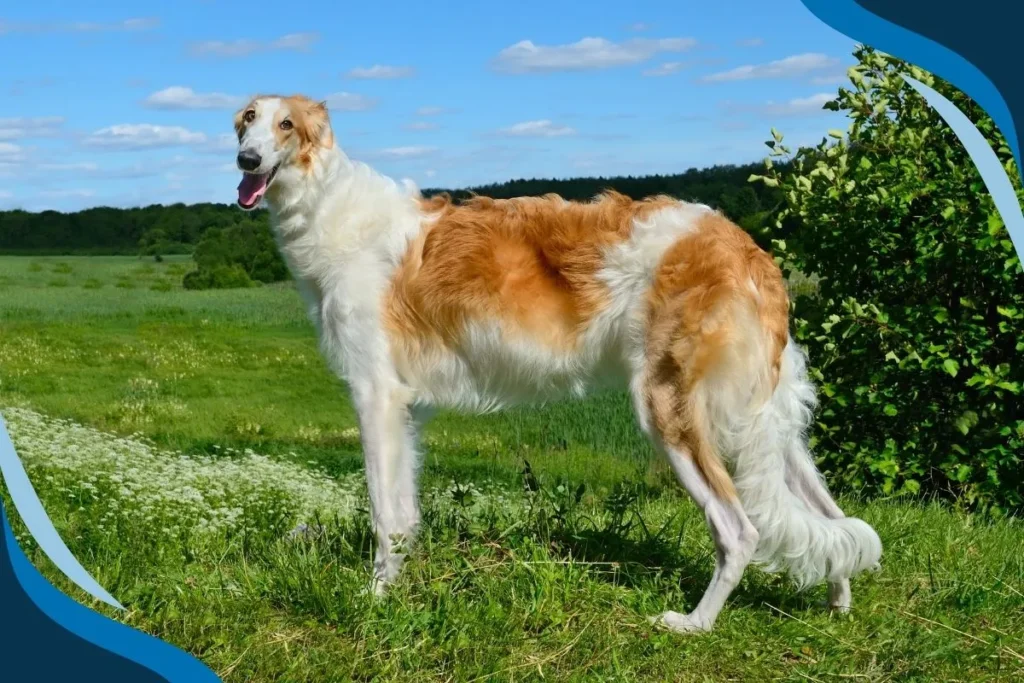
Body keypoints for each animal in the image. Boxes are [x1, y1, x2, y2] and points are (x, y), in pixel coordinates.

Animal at [232, 93, 880, 634]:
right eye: (246, 119)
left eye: (286, 125)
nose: (245, 159)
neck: (332, 211)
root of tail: (745, 247)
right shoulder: (408, 409)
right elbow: (406, 514)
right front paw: (400, 585)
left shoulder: (376, 395)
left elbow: (383, 513)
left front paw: (374, 597)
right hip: (767, 421)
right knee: (834, 522)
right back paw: (838, 603)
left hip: (671, 409)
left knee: (740, 529)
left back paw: (693, 623)